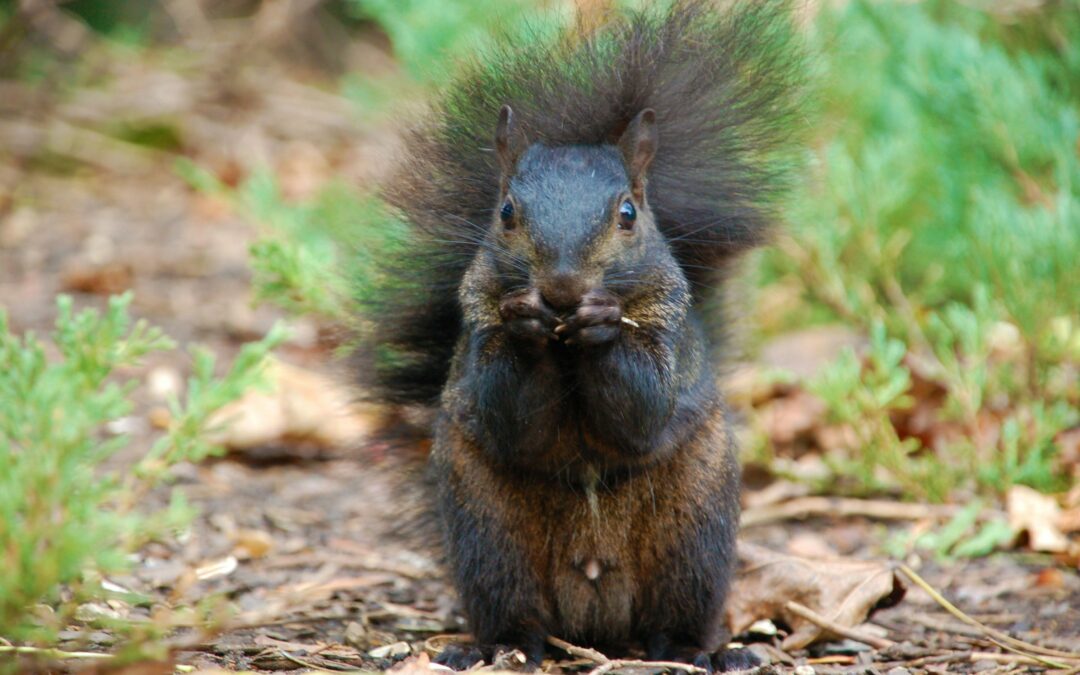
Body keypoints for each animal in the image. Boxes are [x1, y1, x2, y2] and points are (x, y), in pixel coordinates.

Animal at [356, 0, 805, 670]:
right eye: (506, 212)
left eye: (628, 214)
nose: (564, 288)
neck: (565, 350)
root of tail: (594, 601)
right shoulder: (478, 322)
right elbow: (510, 412)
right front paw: (526, 324)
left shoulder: (668, 324)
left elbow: (642, 410)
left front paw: (602, 325)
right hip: (490, 536)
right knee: (514, 611)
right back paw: (498, 647)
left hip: (691, 537)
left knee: (675, 614)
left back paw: (698, 651)